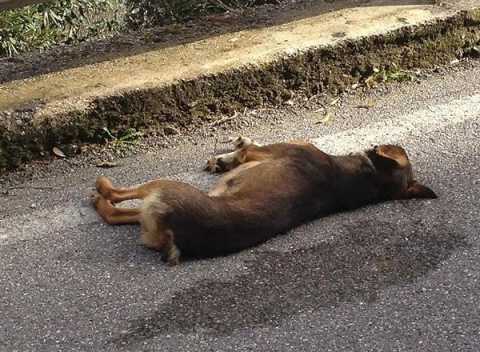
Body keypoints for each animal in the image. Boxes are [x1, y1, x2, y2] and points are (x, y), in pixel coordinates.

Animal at [92, 137, 436, 264]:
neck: (365, 178)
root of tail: (176, 236)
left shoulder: (266, 152)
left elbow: (248, 148)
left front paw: (230, 154)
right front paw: (224, 160)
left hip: (162, 187)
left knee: (116, 202)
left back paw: (101, 188)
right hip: (151, 210)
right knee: (120, 214)